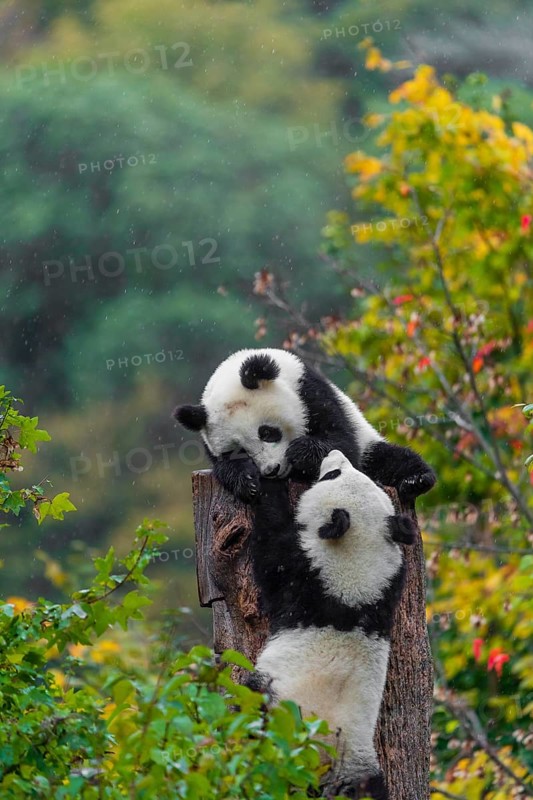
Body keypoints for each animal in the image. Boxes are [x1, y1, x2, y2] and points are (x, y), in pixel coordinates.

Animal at [174, 347, 435, 503]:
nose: (272, 469)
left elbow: (342, 442)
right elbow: (222, 465)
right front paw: (246, 480)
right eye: (239, 450)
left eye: (267, 433)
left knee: (388, 459)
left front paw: (301, 452)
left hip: (369, 444)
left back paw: (414, 480)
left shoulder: (310, 392)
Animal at [248, 449, 416, 800]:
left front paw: (268, 484)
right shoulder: (389, 584)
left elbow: (270, 552)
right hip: (366, 777)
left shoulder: (305, 574)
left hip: (273, 713)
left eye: (331, 475)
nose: (333, 453)